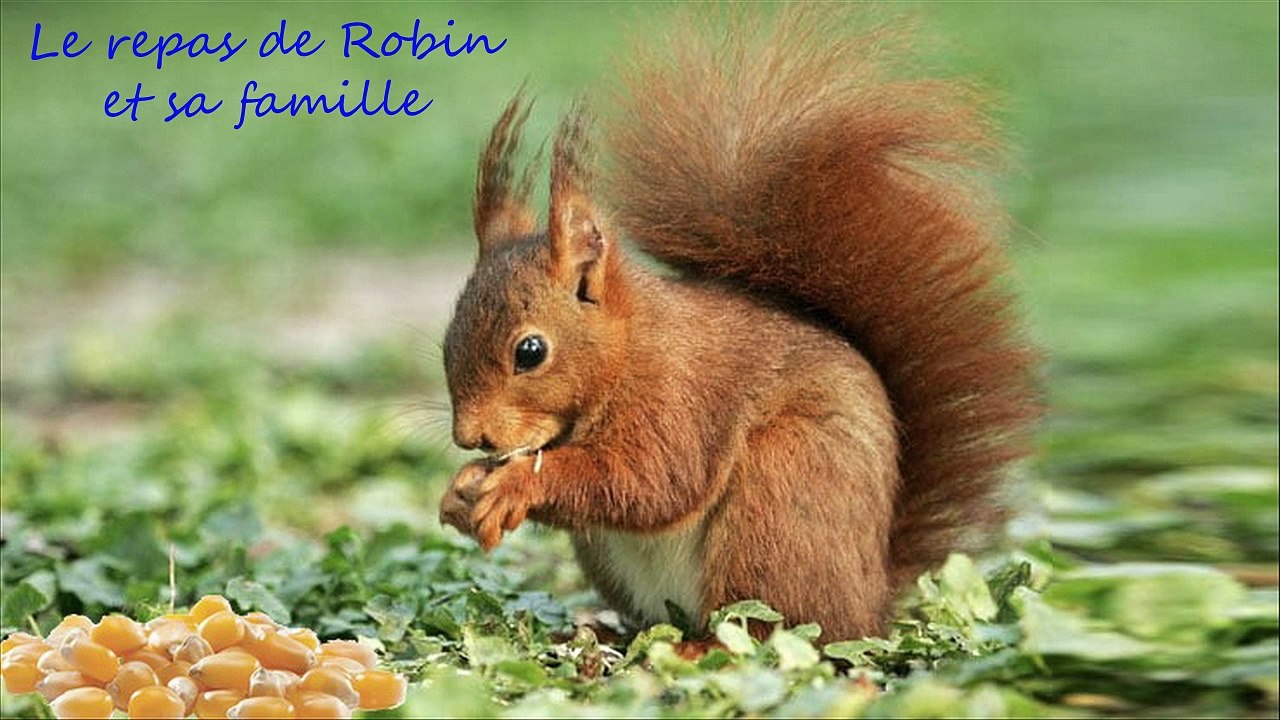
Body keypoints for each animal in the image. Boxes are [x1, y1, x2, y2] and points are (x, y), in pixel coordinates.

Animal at [437, 6, 1038, 642]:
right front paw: (460, 492)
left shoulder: (676, 399)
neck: (627, 351)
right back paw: (605, 632)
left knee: (767, 628)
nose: (470, 437)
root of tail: (870, 600)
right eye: (446, 340)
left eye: (530, 351)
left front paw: (517, 483)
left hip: (778, 497)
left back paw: (698, 648)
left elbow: (650, 481)